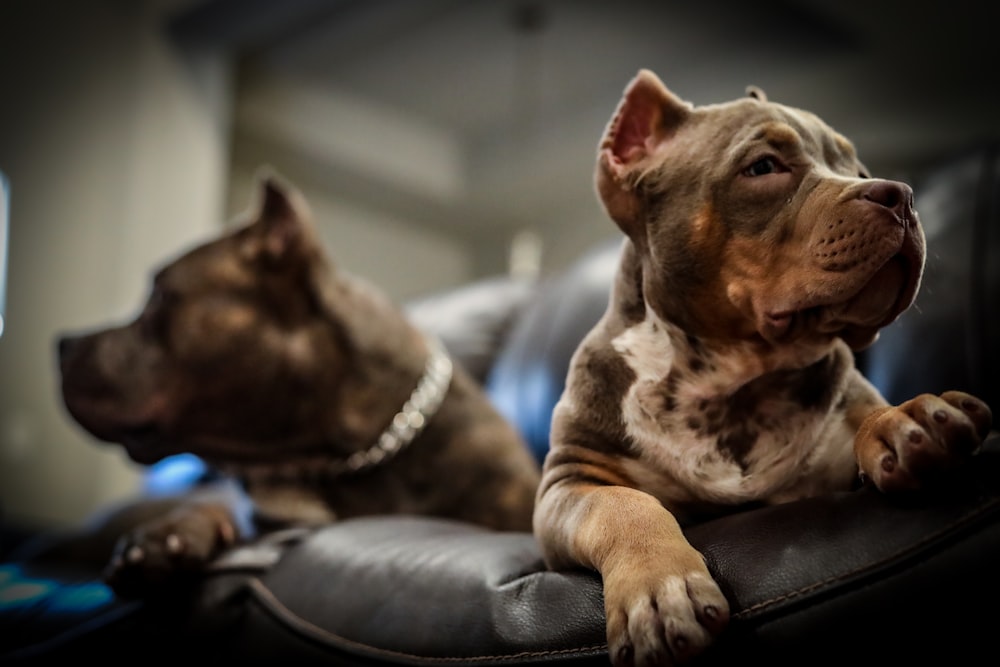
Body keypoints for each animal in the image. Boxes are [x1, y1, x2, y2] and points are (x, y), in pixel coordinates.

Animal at [532, 70, 992, 664]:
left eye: (859, 170)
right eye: (763, 167)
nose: (900, 194)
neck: (732, 377)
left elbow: (866, 413)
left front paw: (903, 420)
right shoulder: (570, 482)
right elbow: (625, 505)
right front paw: (661, 587)